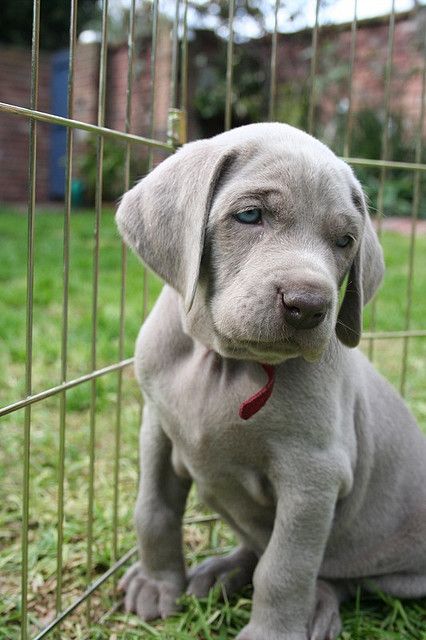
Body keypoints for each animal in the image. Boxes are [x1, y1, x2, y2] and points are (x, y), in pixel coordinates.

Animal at [115, 124, 426, 640]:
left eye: (345, 240)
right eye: (249, 215)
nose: (309, 305)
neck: (225, 363)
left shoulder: (313, 477)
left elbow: (286, 567)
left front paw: (271, 632)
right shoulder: (155, 428)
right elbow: (153, 510)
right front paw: (157, 584)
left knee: (338, 577)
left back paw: (315, 609)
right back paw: (222, 572)